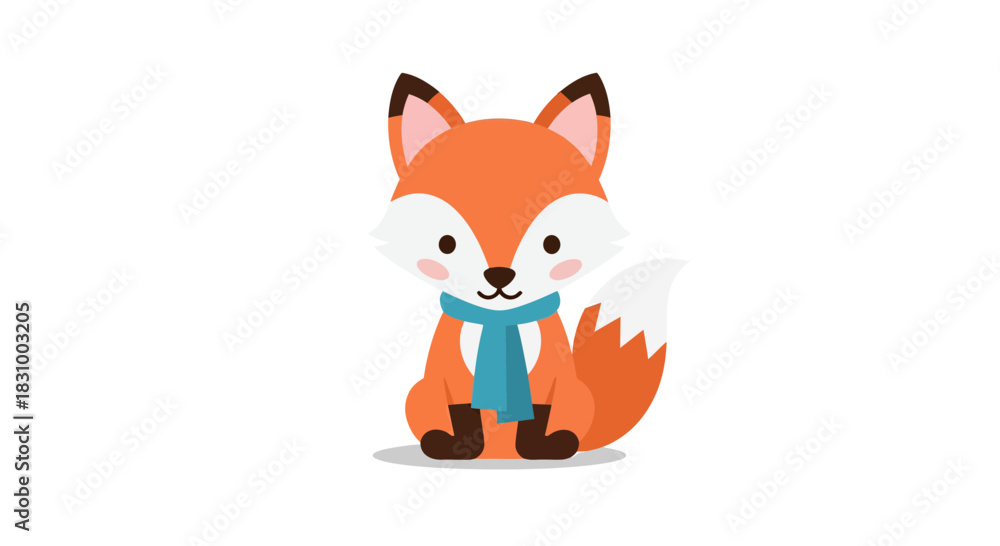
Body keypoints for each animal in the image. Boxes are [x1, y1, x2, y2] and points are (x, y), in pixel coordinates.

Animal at [373, 73, 683, 460]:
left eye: (552, 244)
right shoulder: (446, 377)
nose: (499, 276)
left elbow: (540, 413)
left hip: (578, 394)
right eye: (447, 243)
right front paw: (460, 445)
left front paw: (542, 447)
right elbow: (461, 412)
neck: (499, 320)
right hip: (418, 391)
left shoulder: (554, 377)